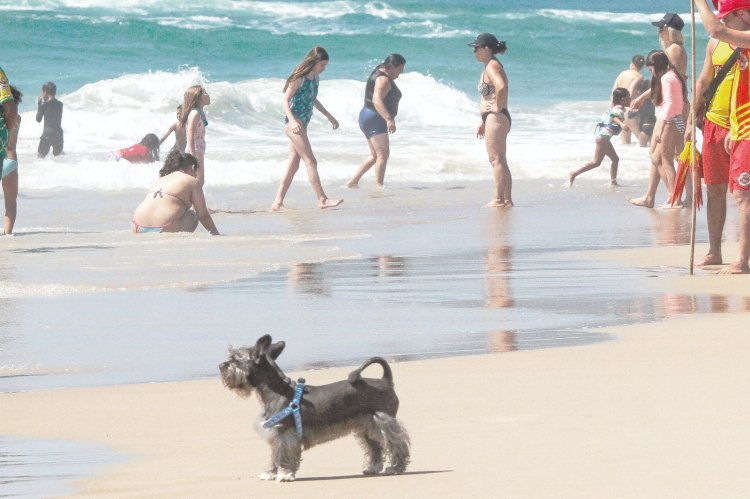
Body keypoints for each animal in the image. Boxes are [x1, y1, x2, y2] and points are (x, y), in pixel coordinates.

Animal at [219, 334, 412, 482]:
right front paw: (270, 473)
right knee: (375, 447)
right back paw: (373, 467)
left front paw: (285, 474)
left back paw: (396, 467)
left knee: (397, 443)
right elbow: (275, 454)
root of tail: (386, 380)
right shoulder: (276, 434)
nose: (221, 366)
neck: (276, 390)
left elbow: (284, 455)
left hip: (383, 421)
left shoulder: (285, 433)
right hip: (366, 425)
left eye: (235, 358)